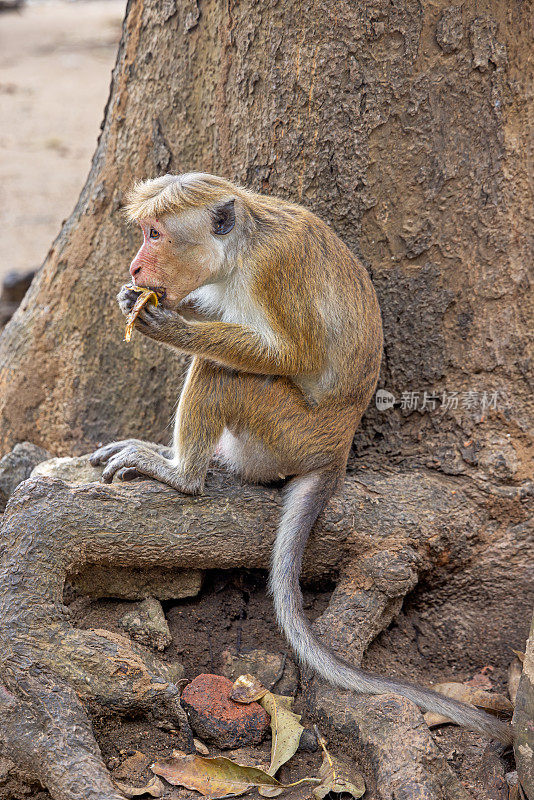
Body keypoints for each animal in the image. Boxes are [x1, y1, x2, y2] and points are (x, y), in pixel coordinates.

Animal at [89, 173, 516, 744]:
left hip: (284, 435)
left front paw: (169, 326)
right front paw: (140, 301)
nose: (136, 268)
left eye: (155, 234)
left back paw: (182, 474)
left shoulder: (274, 272)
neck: (242, 249)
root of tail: (336, 450)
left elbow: (294, 355)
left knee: (225, 371)